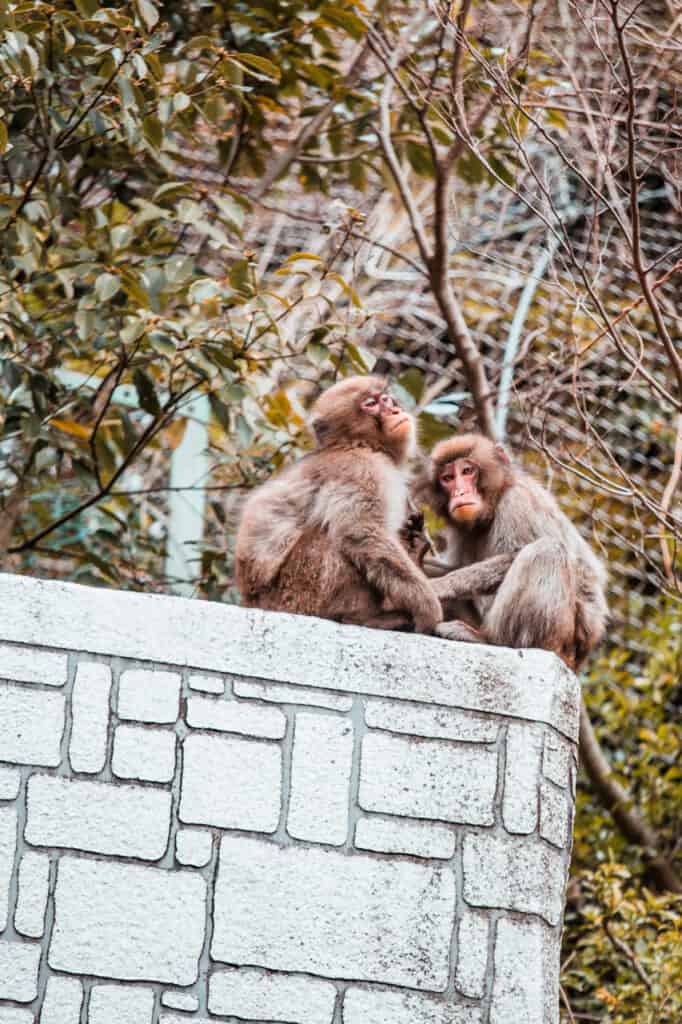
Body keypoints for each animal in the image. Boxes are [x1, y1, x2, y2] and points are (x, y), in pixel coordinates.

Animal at [235, 375, 443, 634]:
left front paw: (413, 543)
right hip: (296, 595)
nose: (395, 410)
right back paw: (357, 616)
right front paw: (427, 608)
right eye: (370, 404)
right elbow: (360, 532)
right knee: (333, 535)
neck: (360, 444)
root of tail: (252, 601)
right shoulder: (361, 469)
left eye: (385, 399)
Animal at [417, 434, 608, 669]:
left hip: (562, 640)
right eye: (448, 478)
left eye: (467, 471)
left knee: (547, 551)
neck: (497, 497)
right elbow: (454, 565)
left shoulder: (516, 501)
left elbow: (513, 556)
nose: (460, 492)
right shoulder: (463, 530)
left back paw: (490, 639)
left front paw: (439, 586)